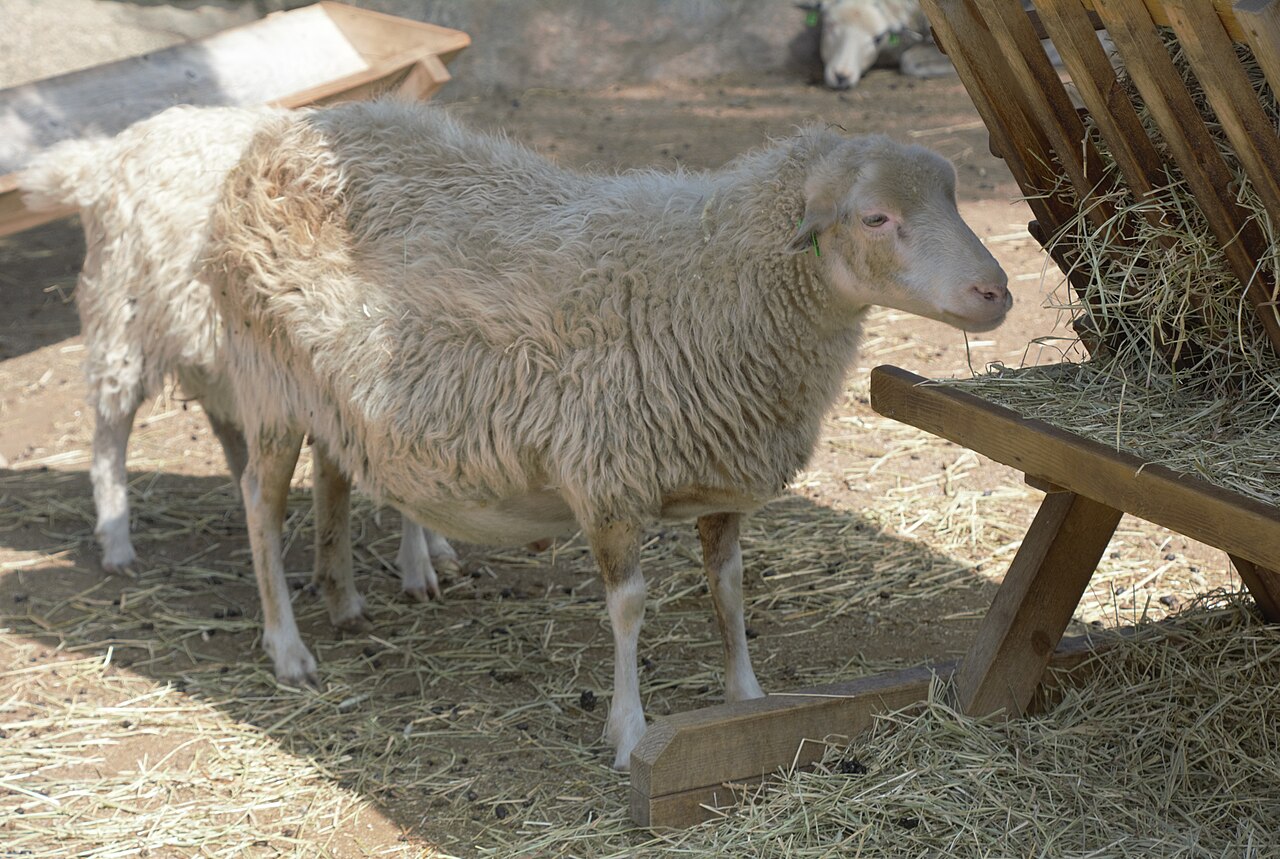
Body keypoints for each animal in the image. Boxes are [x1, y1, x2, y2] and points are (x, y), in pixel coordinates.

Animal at [18, 104, 459, 604]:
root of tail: (105, 158)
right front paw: (416, 567)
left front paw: (432, 548)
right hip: (123, 319)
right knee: (111, 435)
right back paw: (117, 543)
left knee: (223, 419)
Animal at [202, 100, 1010, 769]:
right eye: (876, 217)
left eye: (952, 196)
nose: (995, 291)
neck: (711, 279)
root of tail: (276, 137)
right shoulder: (607, 479)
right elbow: (629, 607)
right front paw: (627, 731)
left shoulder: (723, 476)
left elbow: (729, 589)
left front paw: (747, 699)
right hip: (265, 380)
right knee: (258, 503)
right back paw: (289, 648)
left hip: (328, 394)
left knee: (334, 472)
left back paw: (342, 598)